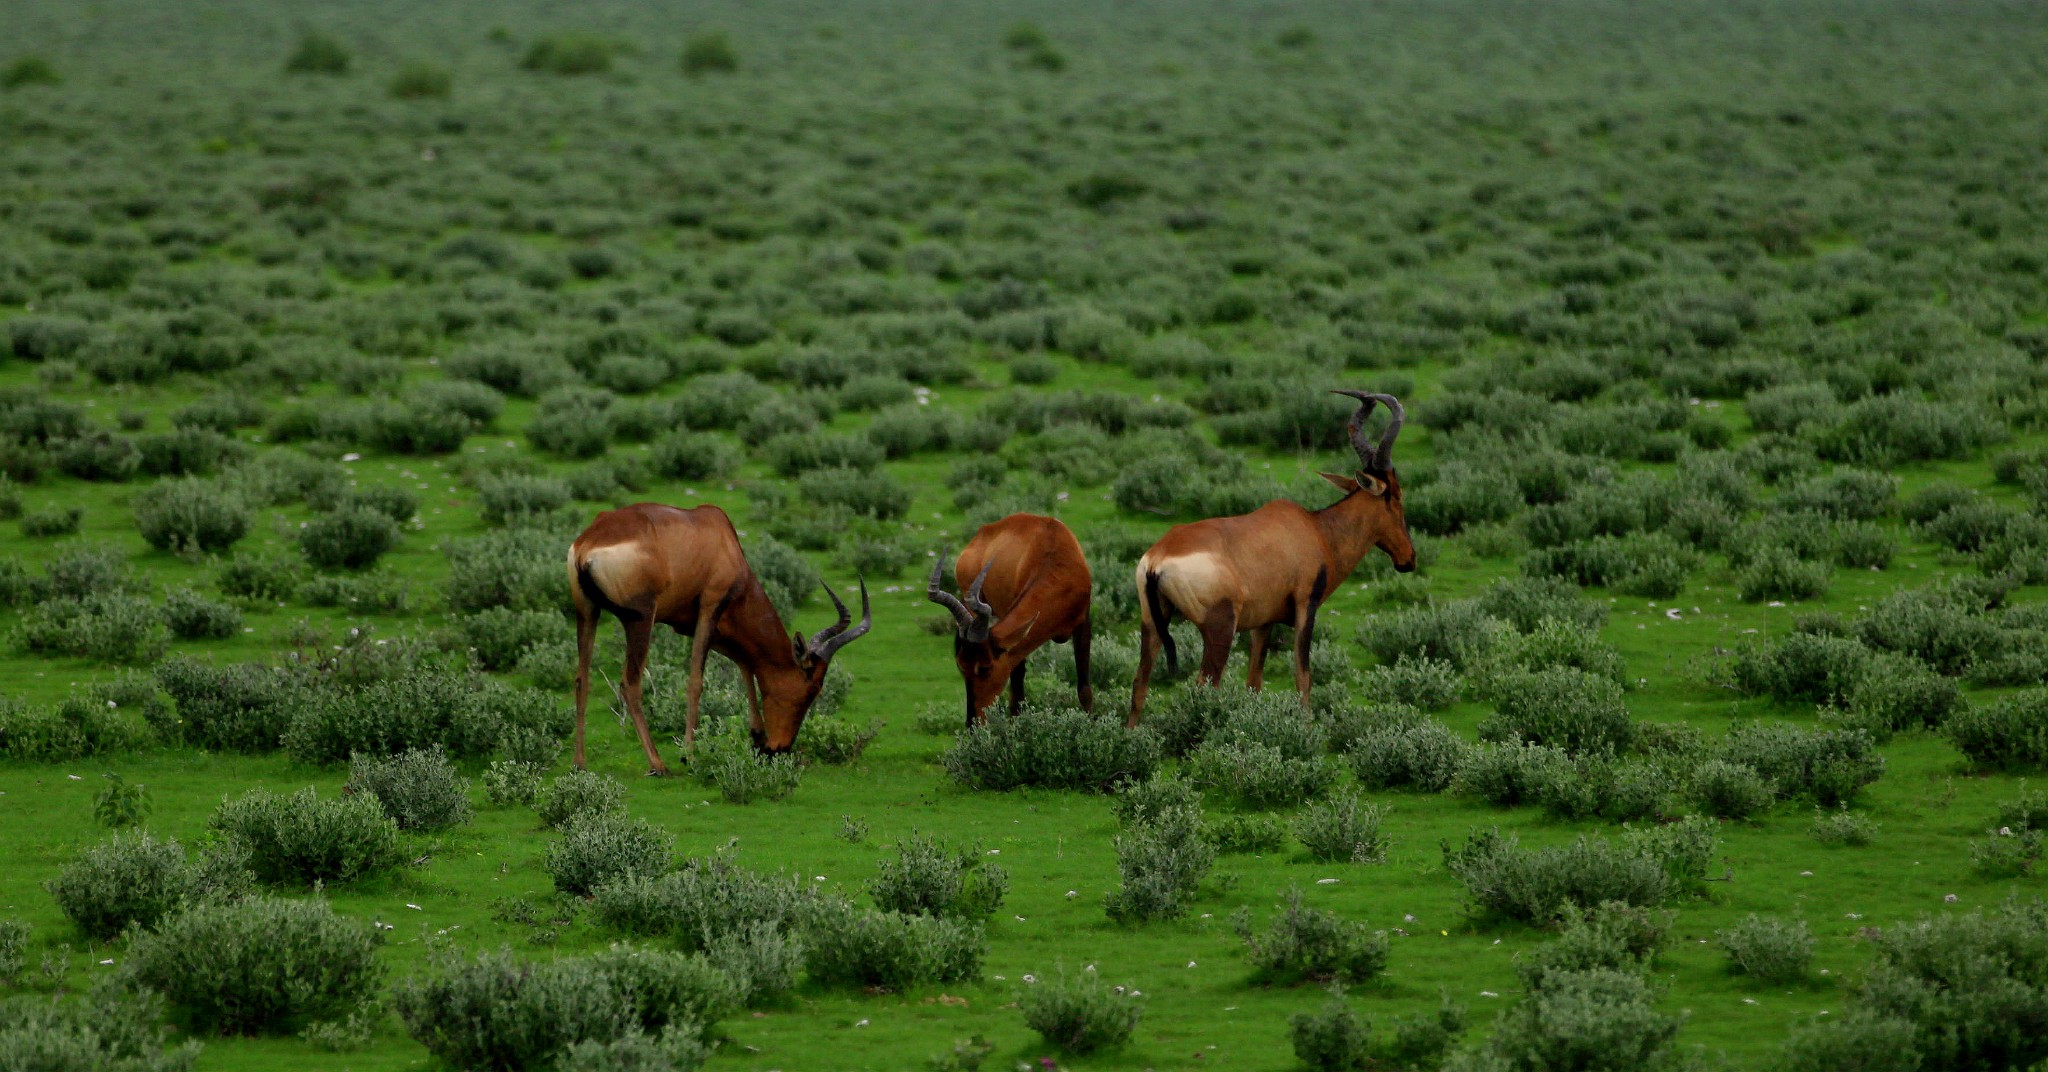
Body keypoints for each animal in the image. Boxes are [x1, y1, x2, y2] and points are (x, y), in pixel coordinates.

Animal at [569, 504, 872, 770]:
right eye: (813, 688)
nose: (779, 748)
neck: (720, 535)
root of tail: (588, 545)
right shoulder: (710, 609)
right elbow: (696, 681)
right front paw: (689, 755)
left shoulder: (700, 626)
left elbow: (746, 663)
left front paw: (757, 736)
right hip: (641, 619)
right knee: (630, 684)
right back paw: (658, 764)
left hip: (586, 611)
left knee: (582, 680)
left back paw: (580, 763)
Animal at [929, 514, 1097, 729]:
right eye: (960, 665)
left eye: (985, 667)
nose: (972, 724)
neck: (1054, 555)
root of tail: (981, 534)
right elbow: (1017, 688)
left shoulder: (1083, 624)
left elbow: (1084, 689)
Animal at [1130, 389, 1417, 725]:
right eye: (1396, 495)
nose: (1408, 559)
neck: (1315, 529)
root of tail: (1158, 558)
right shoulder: (1306, 606)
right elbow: (1303, 676)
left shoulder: (1263, 623)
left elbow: (1254, 681)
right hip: (1220, 628)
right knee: (1204, 685)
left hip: (1153, 621)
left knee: (1140, 682)